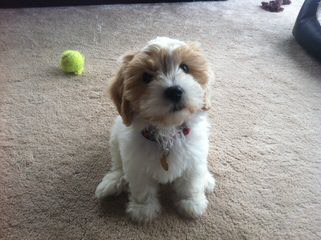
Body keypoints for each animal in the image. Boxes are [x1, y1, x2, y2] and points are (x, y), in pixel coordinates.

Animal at [95, 36, 215, 222]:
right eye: (146, 77)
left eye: (185, 67)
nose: (174, 91)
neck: (167, 133)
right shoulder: (136, 164)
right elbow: (142, 188)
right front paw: (143, 210)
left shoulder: (194, 159)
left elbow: (191, 184)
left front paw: (192, 203)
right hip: (115, 137)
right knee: (118, 164)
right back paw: (113, 180)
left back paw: (207, 180)